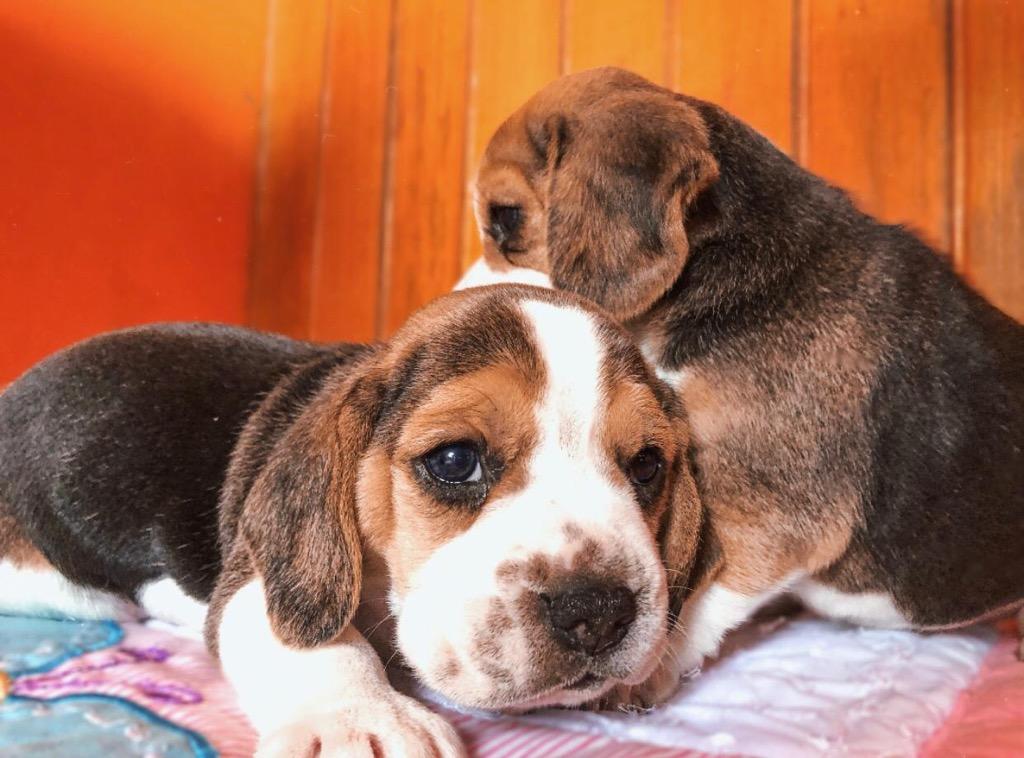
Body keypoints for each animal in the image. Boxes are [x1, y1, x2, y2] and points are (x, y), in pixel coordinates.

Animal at [0, 284, 704, 758]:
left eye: (646, 466)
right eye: (455, 461)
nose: (599, 611)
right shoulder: (262, 577)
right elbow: (320, 642)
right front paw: (362, 718)